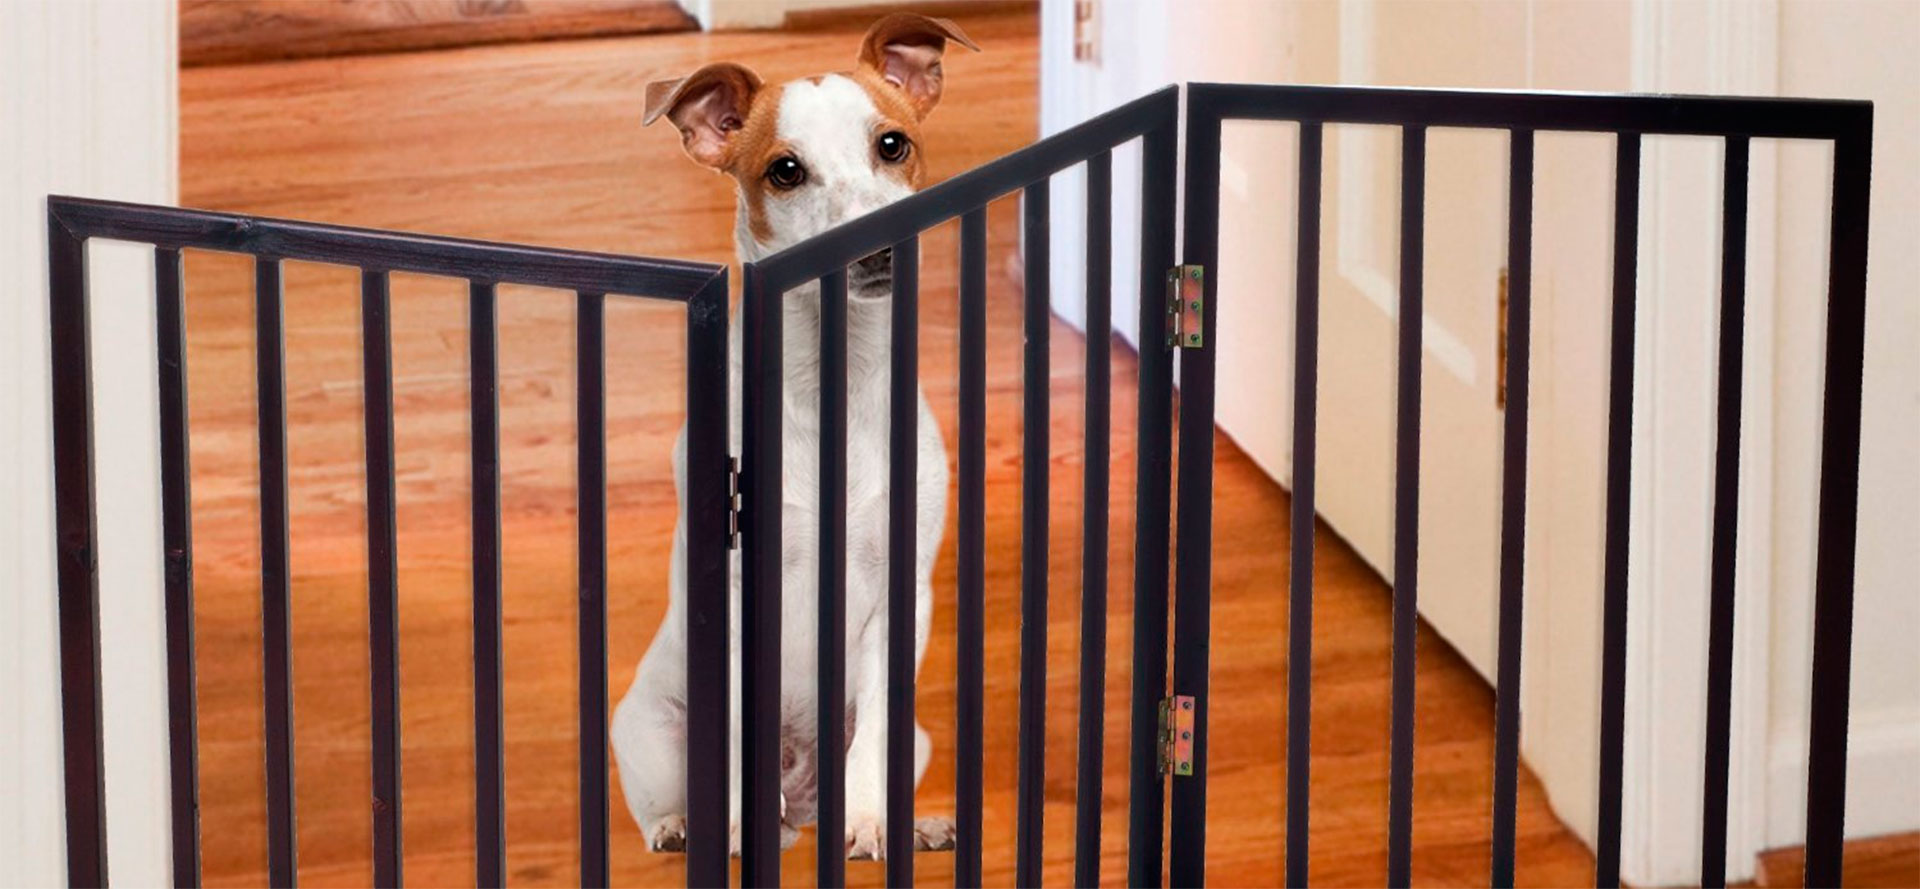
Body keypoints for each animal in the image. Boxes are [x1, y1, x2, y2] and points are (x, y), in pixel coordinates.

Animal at [610, 13, 975, 864]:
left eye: (892, 144)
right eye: (785, 170)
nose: (878, 247)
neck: (830, 379)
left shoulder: (899, 599)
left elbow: (872, 731)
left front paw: (871, 819)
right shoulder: (738, 595)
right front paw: (735, 823)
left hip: (914, 736)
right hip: (646, 727)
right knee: (663, 798)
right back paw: (686, 827)